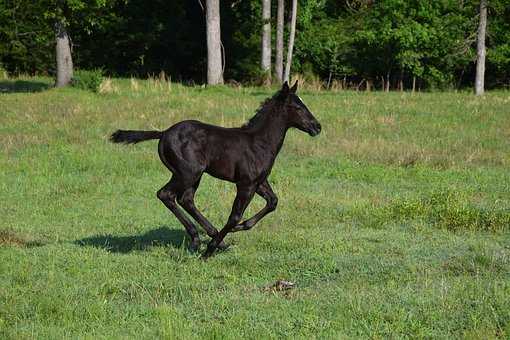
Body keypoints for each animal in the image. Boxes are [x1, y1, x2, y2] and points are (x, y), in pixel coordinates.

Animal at [109, 81, 320, 258]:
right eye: (298, 107)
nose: (317, 127)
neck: (259, 141)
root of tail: (163, 133)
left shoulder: (259, 182)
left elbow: (273, 202)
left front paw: (238, 229)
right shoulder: (246, 184)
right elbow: (234, 216)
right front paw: (210, 249)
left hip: (193, 175)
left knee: (186, 199)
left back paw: (210, 237)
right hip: (188, 173)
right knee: (166, 194)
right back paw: (200, 239)